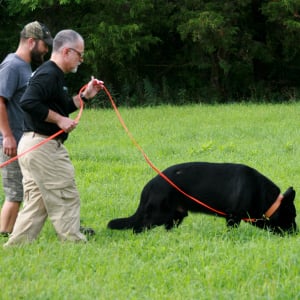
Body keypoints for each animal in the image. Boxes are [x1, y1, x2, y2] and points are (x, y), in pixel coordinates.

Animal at [107, 162, 296, 234]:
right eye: (293, 216)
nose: (297, 233)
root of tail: (150, 185)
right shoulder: (233, 217)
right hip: (157, 215)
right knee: (137, 227)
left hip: (175, 217)